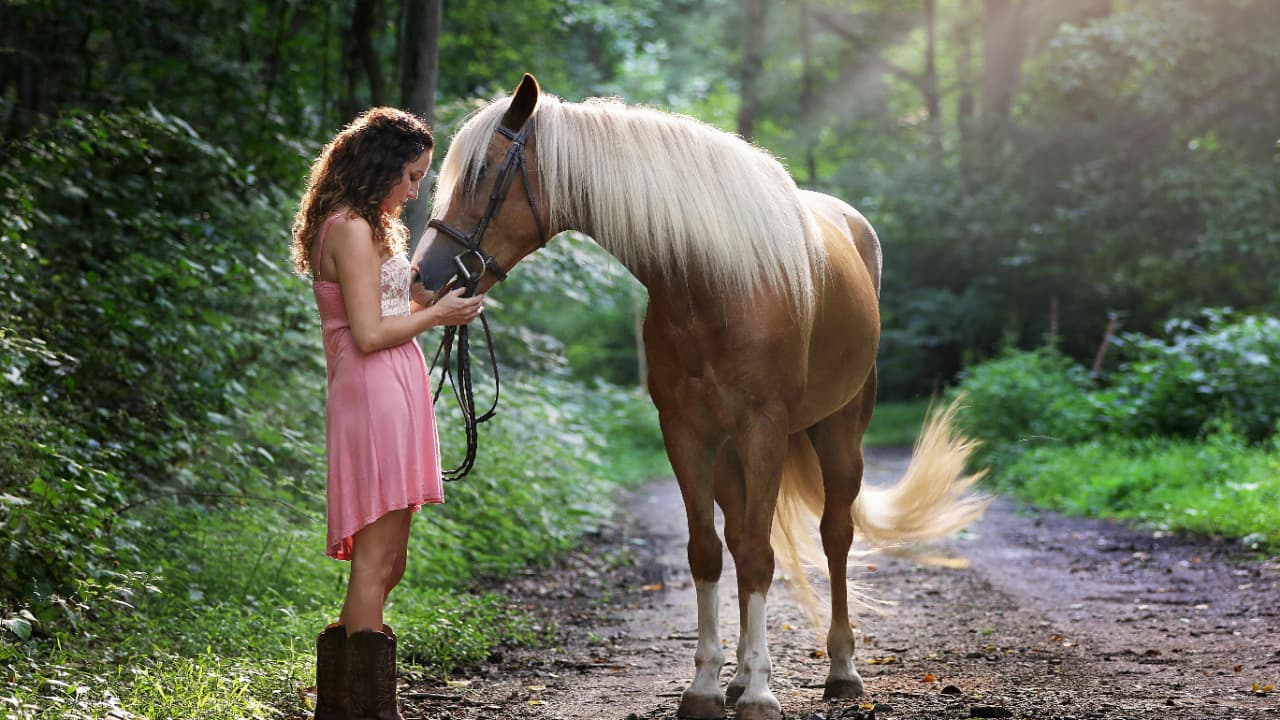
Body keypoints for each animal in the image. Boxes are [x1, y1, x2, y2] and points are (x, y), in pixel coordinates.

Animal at [412, 73, 989, 720]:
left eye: (484, 172)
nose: (423, 277)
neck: (714, 284)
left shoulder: (764, 430)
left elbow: (762, 555)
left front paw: (761, 693)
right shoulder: (686, 434)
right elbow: (708, 553)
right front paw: (709, 685)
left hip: (840, 432)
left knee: (834, 535)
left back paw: (841, 670)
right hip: (731, 455)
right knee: (739, 538)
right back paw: (738, 676)